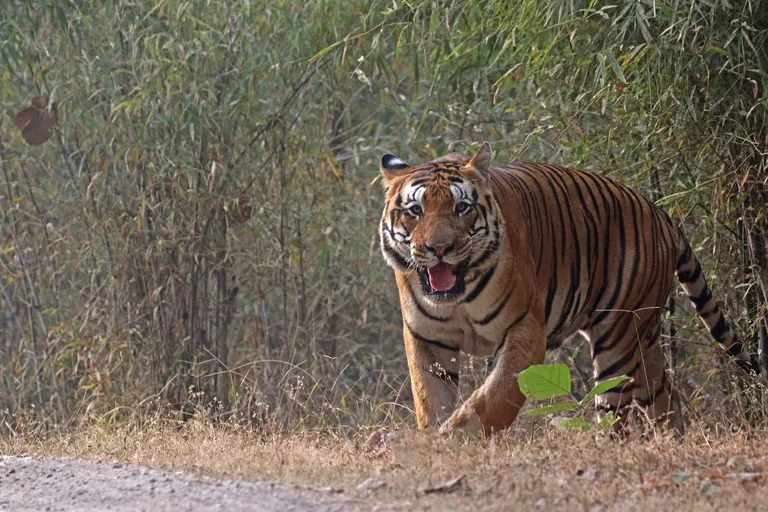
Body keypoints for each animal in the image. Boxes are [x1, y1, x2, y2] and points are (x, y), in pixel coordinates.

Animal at [378, 142, 759, 435]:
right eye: (415, 210)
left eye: (461, 208)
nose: (438, 248)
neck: (457, 298)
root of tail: (662, 214)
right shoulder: (428, 338)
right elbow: (431, 398)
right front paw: (435, 437)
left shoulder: (525, 332)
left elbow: (493, 398)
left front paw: (454, 438)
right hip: (643, 339)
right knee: (664, 395)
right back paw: (670, 440)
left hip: (618, 339)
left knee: (616, 413)